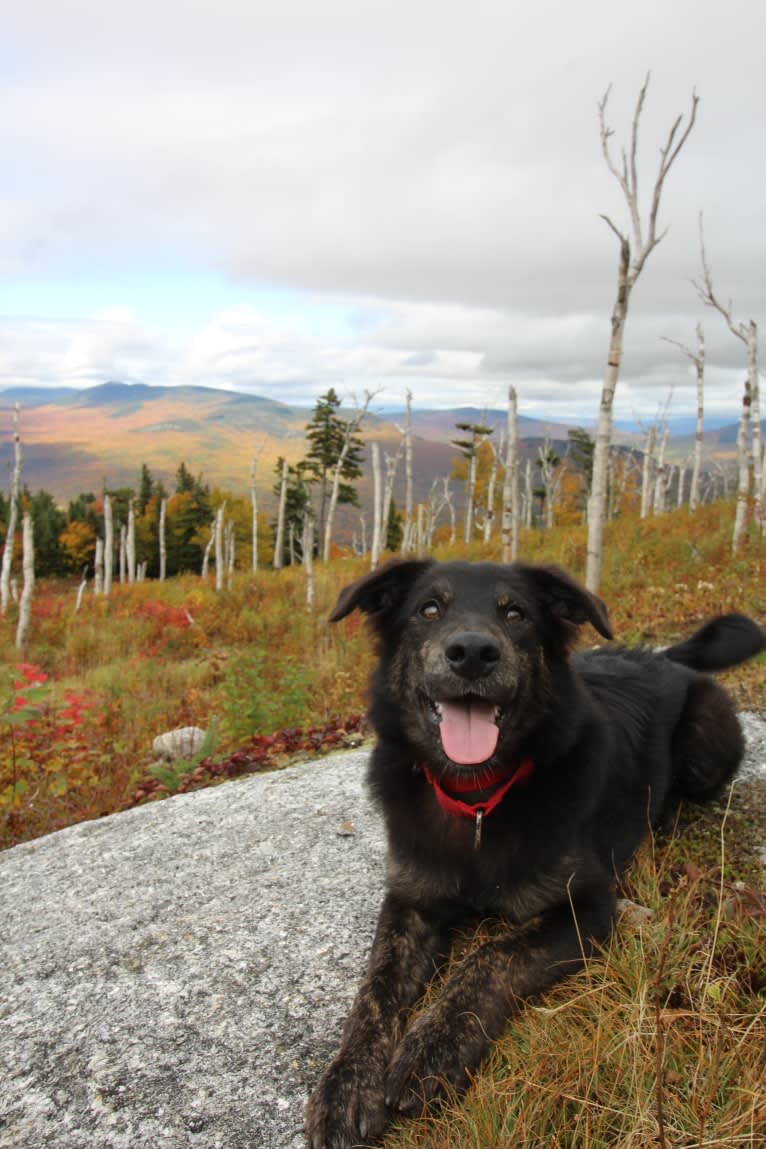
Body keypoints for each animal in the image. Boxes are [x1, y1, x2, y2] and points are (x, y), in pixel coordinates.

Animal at [305, 553, 766, 1139]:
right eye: (429, 609)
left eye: (516, 613)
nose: (472, 653)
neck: (478, 800)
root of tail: (663, 658)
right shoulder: (410, 897)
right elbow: (374, 989)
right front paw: (345, 1082)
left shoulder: (587, 906)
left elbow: (490, 956)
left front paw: (432, 1048)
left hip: (709, 741)